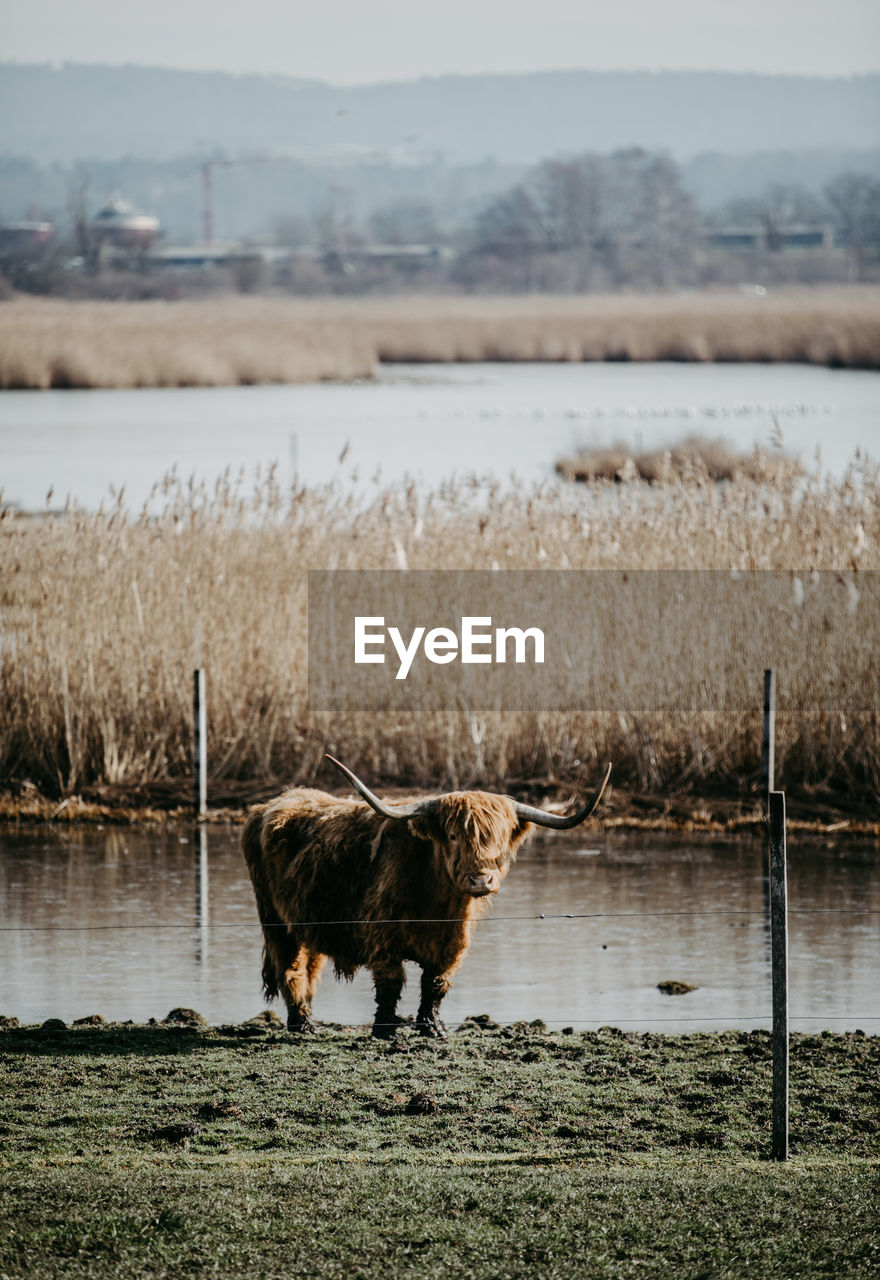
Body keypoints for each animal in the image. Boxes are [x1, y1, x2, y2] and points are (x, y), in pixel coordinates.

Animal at [240, 752, 611, 1034]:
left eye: (500, 838)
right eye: (453, 836)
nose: (481, 880)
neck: (436, 904)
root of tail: (266, 807)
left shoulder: (452, 946)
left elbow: (435, 985)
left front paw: (432, 1028)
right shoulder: (382, 938)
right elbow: (391, 984)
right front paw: (386, 1030)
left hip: (307, 921)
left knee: (310, 967)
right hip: (274, 920)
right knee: (289, 968)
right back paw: (302, 1025)